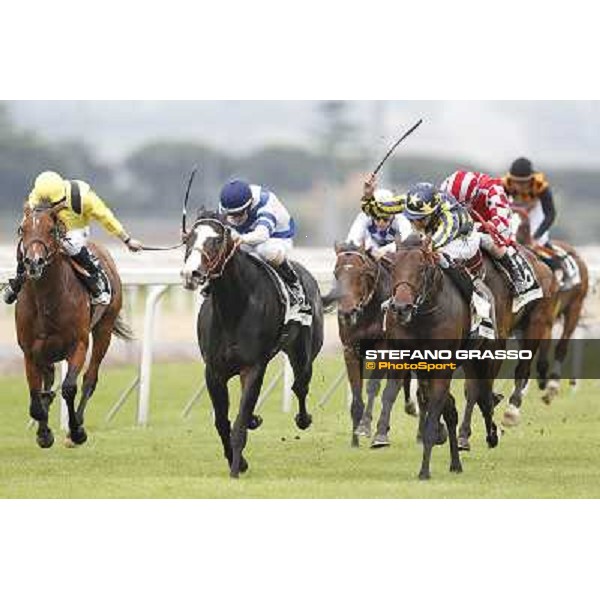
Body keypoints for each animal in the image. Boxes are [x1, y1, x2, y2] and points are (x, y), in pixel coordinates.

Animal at [13, 204, 134, 448]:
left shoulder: (78, 343)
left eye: (51, 230)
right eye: (23, 229)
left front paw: (76, 431)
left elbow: (69, 388)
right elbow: (36, 397)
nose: (34, 262)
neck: (46, 299)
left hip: (104, 329)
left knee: (90, 378)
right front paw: (44, 433)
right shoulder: (30, 350)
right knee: (48, 380)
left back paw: (75, 426)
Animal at [180, 211, 324, 478]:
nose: (190, 273)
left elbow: (238, 423)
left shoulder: (254, 367)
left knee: (300, 386)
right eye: (188, 238)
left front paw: (236, 469)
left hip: (304, 353)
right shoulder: (214, 371)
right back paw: (255, 419)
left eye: (217, 240)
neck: (233, 309)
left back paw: (303, 418)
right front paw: (238, 460)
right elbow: (222, 422)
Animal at [328, 241, 418, 448]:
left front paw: (366, 426)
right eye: (336, 272)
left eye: (362, 273)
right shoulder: (351, 349)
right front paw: (354, 439)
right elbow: (356, 392)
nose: (347, 312)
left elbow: (373, 386)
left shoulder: (383, 347)